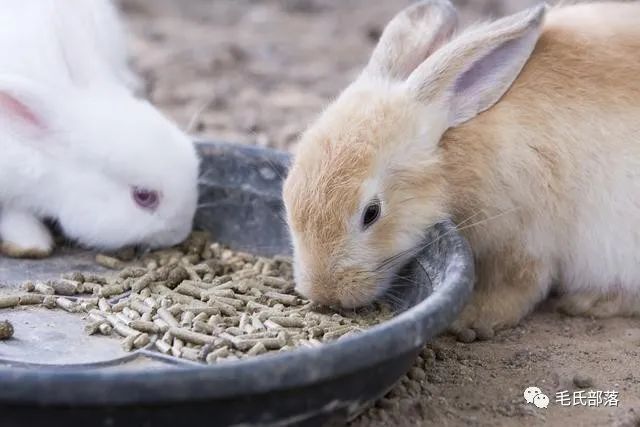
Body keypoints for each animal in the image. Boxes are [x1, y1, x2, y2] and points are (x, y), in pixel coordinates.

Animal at [282, 0, 640, 342]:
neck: (452, 160)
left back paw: (590, 302)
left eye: (372, 213)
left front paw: (470, 319)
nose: (324, 293)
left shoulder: (527, 240)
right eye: (287, 196)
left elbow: (519, 287)